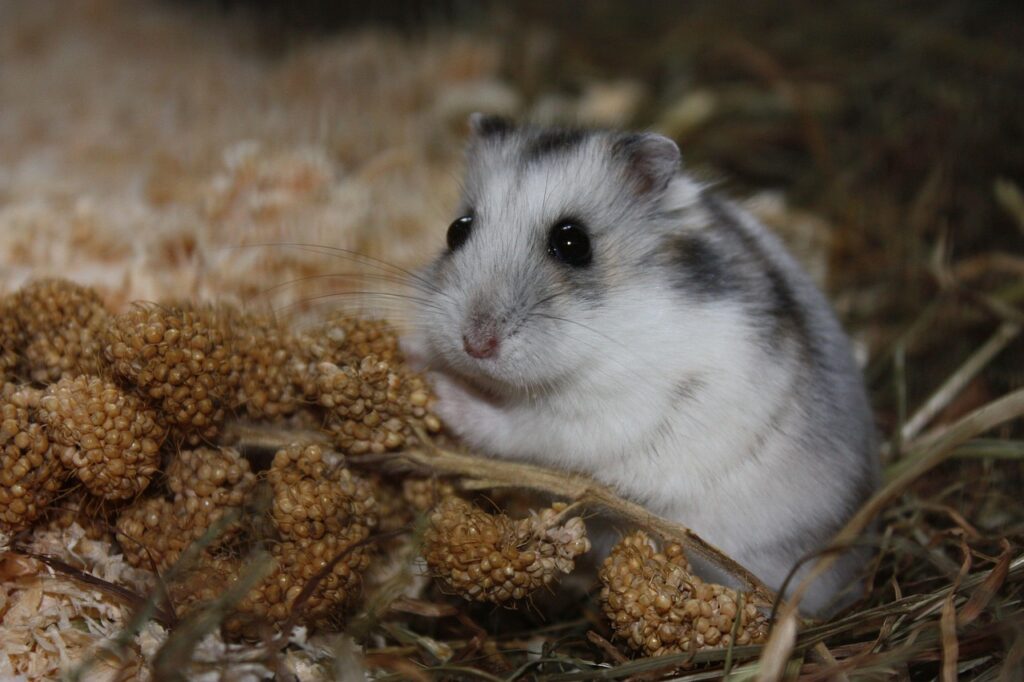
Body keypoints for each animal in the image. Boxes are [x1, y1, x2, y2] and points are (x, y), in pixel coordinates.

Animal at [405, 114, 879, 615]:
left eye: (573, 242)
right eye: (456, 230)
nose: (474, 344)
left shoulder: (599, 417)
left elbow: (513, 427)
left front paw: (441, 390)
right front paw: (412, 351)